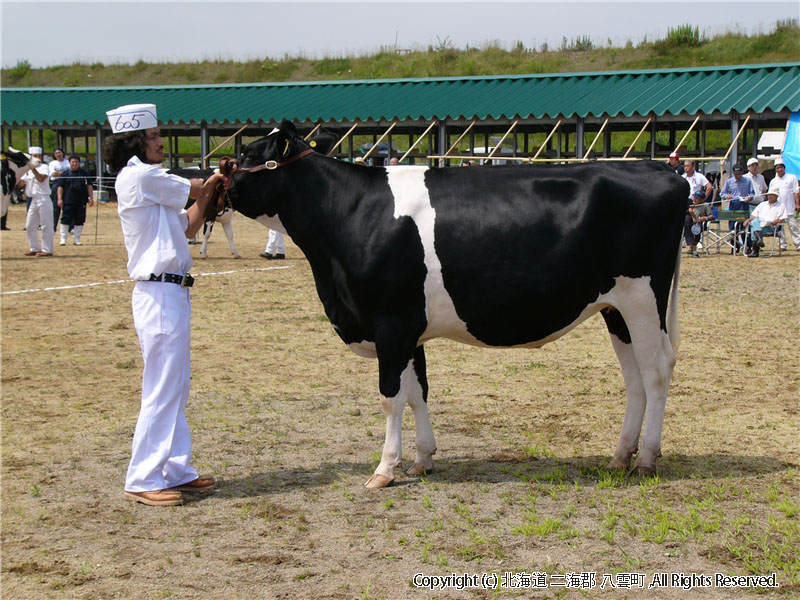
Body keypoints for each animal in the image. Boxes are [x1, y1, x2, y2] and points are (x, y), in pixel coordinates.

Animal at [220, 122, 688, 488]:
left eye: (247, 153)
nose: (215, 177)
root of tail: (657, 168)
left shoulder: (391, 324)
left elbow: (391, 397)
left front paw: (384, 469)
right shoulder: (409, 330)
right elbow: (417, 393)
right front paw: (422, 459)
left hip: (643, 298)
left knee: (656, 370)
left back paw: (646, 460)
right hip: (616, 309)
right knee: (635, 377)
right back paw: (620, 456)